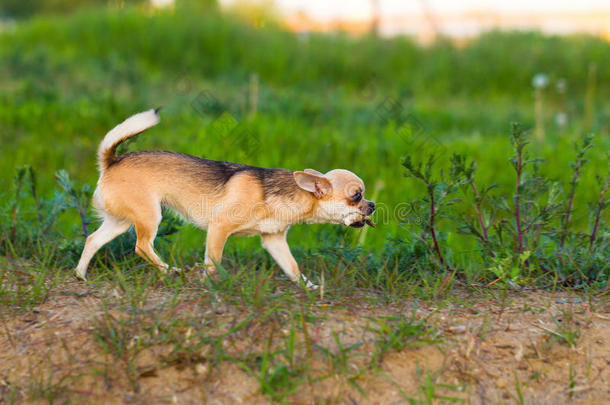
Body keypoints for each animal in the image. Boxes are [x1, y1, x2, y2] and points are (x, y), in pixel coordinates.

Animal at [73, 109, 372, 288]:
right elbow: (213, 260)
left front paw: (309, 287)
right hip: (149, 216)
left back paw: (80, 274)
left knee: (93, 240)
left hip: (120, 222)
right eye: (356, 196)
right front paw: (210, 282)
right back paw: (170, 270)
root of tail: (111, 160)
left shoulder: (274, 241)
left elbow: (293, 268)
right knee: (142, 246)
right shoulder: (219, 228)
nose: (372, 205)